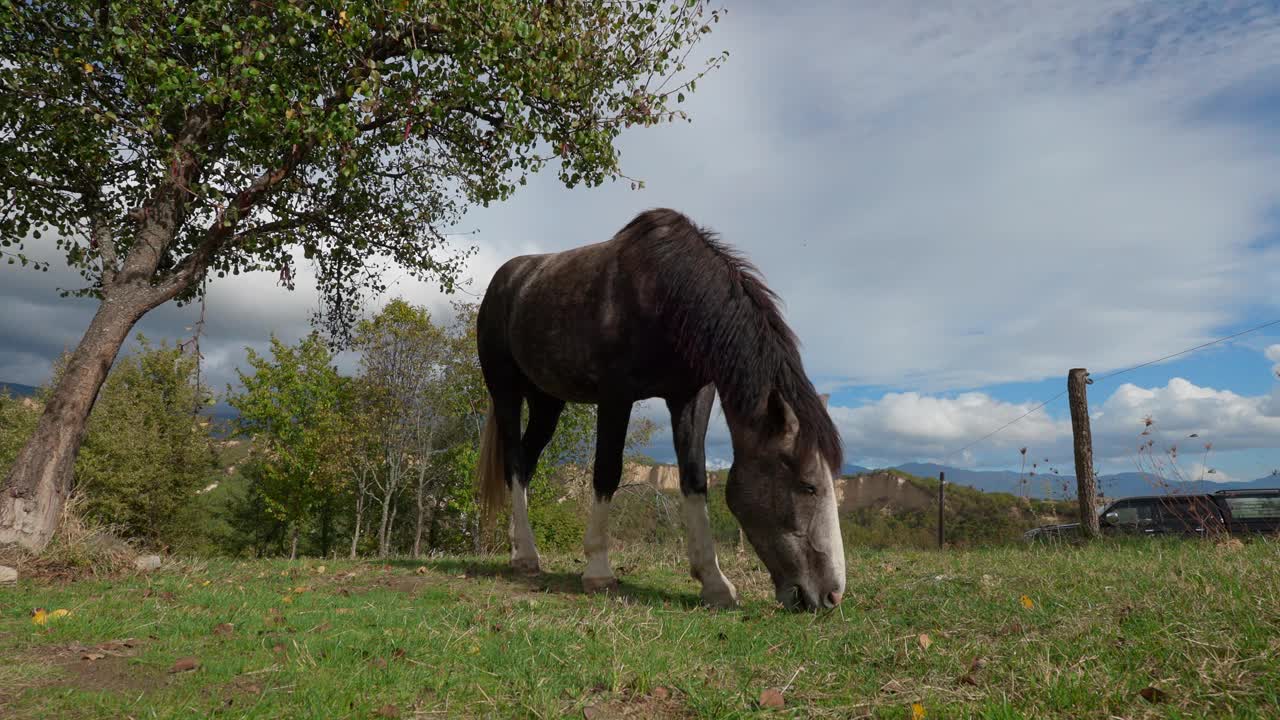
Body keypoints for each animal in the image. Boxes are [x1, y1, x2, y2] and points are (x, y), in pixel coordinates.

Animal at [476, 206, 844, 604]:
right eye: (808, 486)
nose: (832, 595)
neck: (663, 294)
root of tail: (507, 277)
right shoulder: (615, 397)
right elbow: (607, 471)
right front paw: (598, 570)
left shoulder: (691, 396)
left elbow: (694, 478)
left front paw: (714, 582)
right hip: (506, 391)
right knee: (515, 462)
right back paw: (527, 555)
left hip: (547, 403)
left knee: (525, 465)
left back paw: (518, 548)